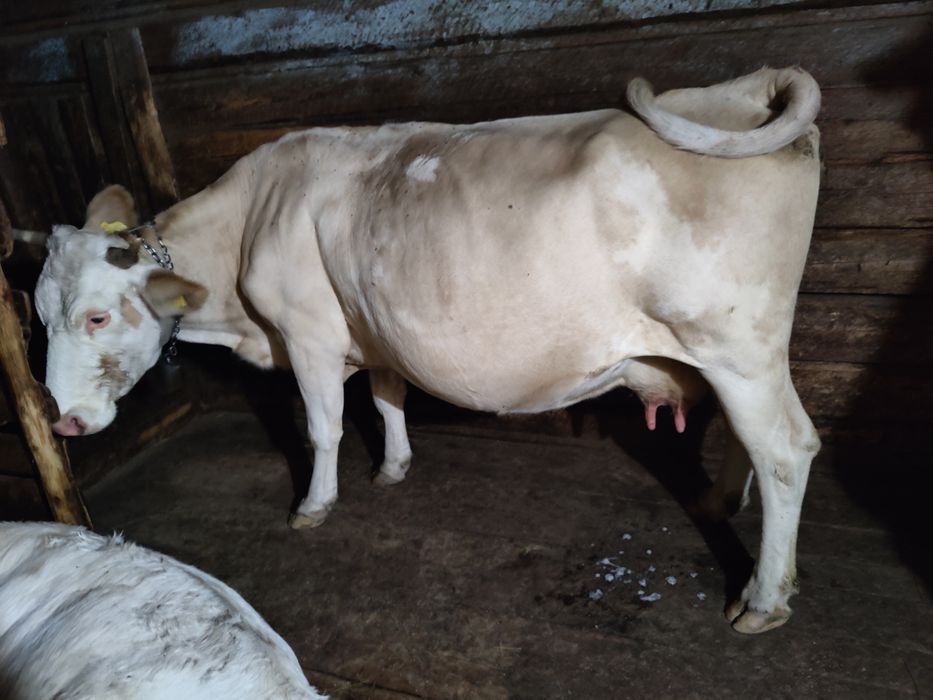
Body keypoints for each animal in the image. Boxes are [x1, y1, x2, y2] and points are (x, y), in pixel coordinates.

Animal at [34, 66, 822, 633]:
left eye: (97, 317)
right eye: (41, 316)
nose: (63, 419)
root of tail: (746, 85)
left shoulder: (309, 335)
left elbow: (323, 428)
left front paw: (314, 504)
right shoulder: (377, 326)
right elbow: (388, 401)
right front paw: (393, 466)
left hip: (735, 345)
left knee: (786, 450)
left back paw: (761, 599)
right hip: (730, 356)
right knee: (750, 442)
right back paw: (717, 501)